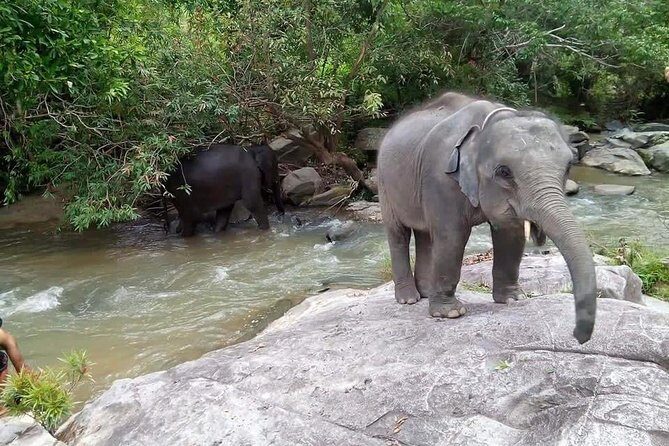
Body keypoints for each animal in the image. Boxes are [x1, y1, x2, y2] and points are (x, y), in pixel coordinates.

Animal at [378, 92, 596, 344]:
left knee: (425, 236)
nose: (578, 335)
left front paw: (513, 300)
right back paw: (409, 299)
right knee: (399, 234)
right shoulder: (440, 177)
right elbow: (452, 237)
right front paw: (450, 313)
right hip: (384, 184)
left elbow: (510, 234)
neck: (487, 122)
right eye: (504, 172)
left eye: (569, 166)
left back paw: (424, 293)